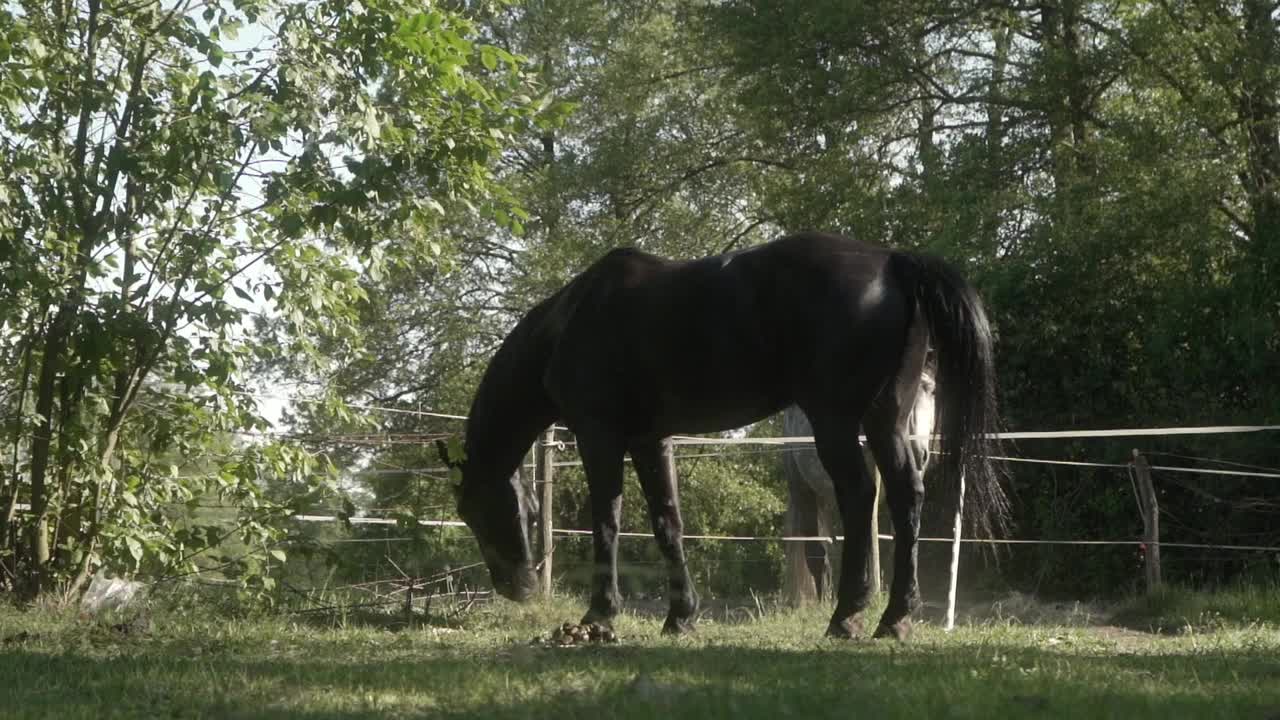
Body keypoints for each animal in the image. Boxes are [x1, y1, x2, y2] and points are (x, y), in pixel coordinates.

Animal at [778, 363, 942, 604]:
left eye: (932, 391)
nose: (919, 453)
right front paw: (873, 593)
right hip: (803, 491)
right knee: (816, 550)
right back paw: (826, 601)